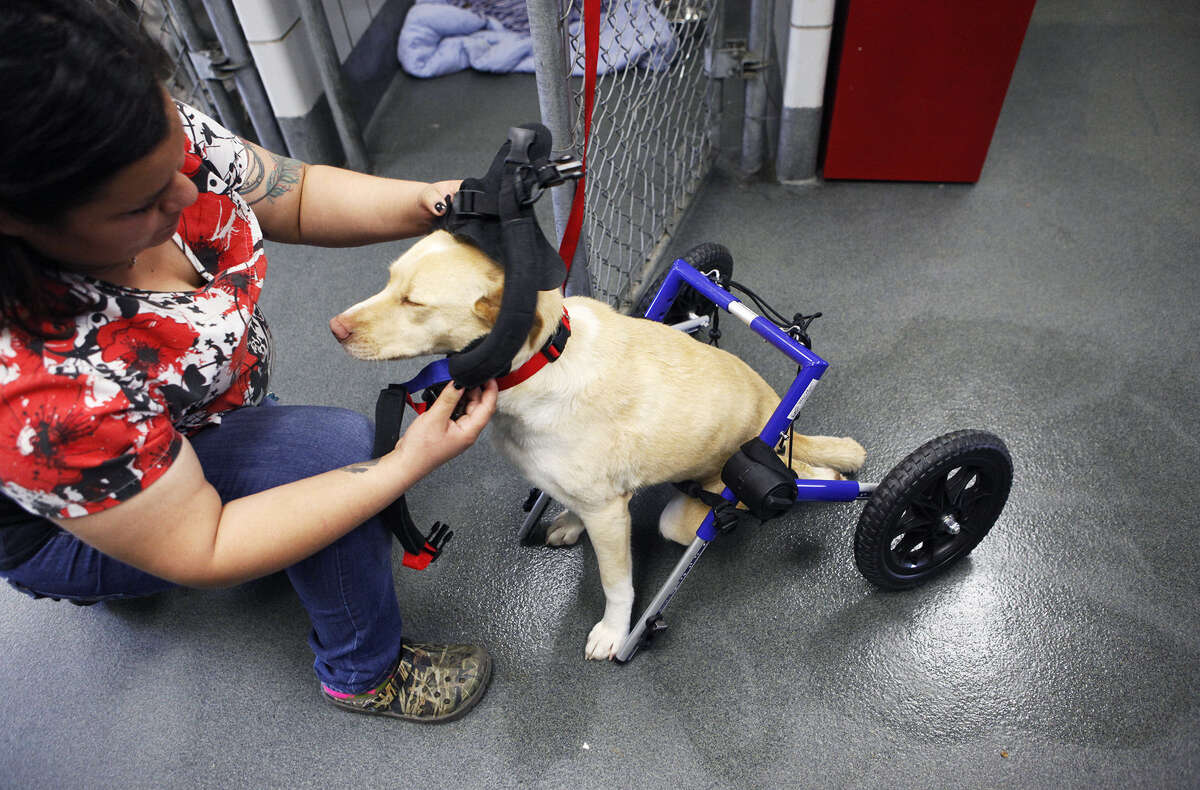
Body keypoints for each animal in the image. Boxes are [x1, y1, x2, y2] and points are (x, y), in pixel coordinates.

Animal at [333, 229, 868, 657]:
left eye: (414, 302)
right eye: (388, 281)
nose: (336, 329)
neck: (543, 362)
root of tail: (777, 408)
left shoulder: (609, 514)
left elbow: (617, 586)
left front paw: (614, 632)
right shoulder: (593, 499)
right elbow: (572, 502)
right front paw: (570, 523)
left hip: (723, 491)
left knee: (789, 481)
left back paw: (821, 478)